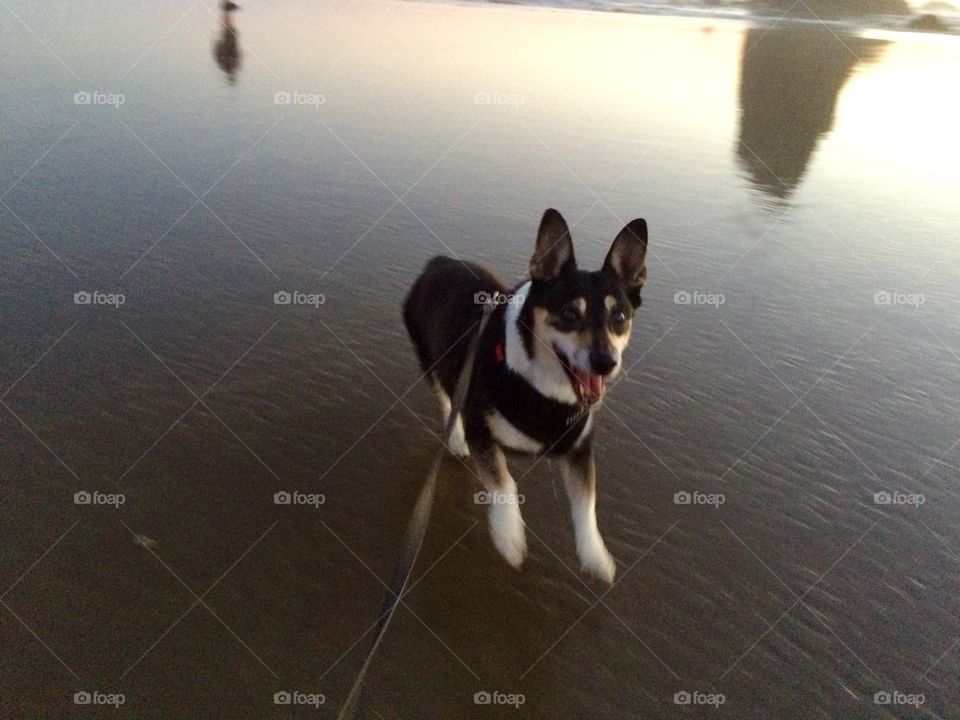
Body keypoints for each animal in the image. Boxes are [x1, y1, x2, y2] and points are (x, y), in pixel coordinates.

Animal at [402, 205, 648, 584]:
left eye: (619, 316)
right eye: (569, 314)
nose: (605, 362)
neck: (545, 386)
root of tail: (438, 263)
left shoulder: (578, 449)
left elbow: (586, 502)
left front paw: (595, 555)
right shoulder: (481, 431)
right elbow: (503, 483)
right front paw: (509, 537)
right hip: (432, 362)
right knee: (446, 399)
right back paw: (454, 439)